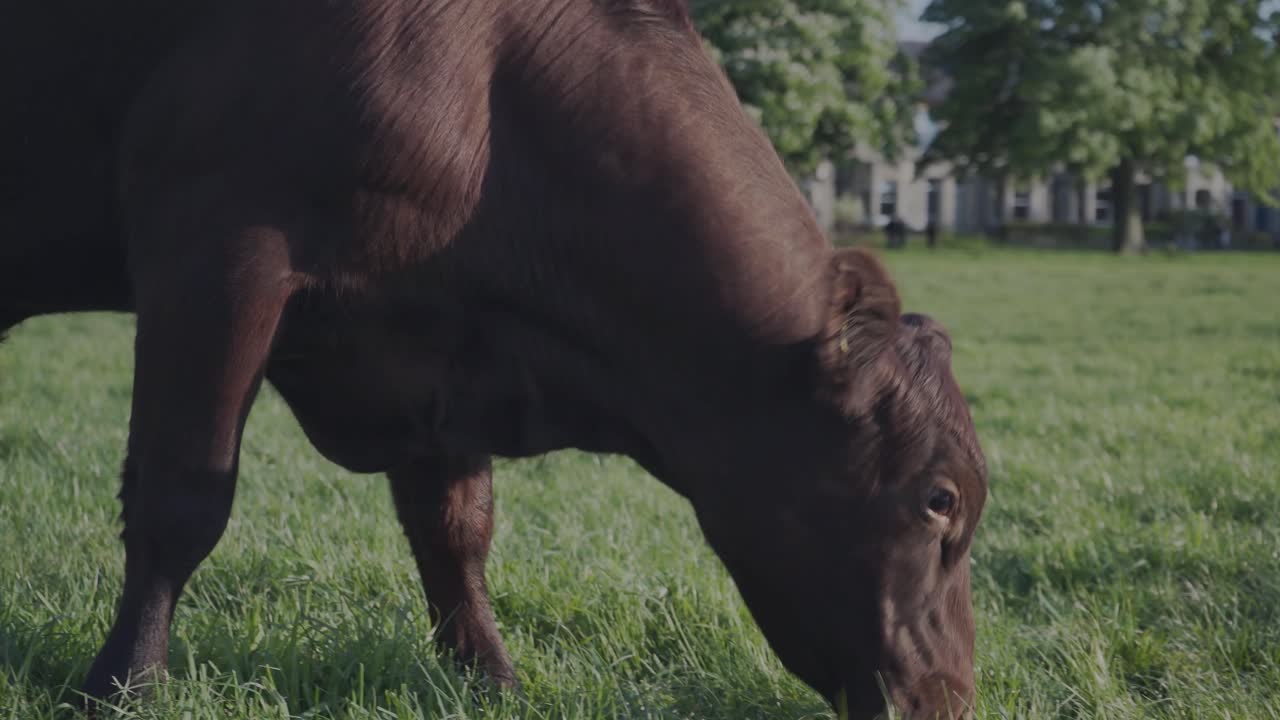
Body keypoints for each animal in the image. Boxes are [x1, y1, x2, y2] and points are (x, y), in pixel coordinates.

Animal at [0, 1, 988, 718]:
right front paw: (122, 685)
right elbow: (181, 499)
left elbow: (455, 526)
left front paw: (489, 679)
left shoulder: (435, 349)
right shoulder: (216, 251)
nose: (950, 699)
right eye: (938, 499)